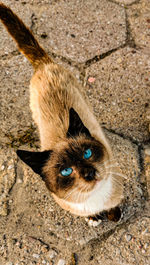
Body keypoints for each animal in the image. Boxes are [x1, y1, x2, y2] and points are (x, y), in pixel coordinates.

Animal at [0, 3, 123, 218]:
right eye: (66, 171)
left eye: (87, 154)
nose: (89, 173)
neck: (94, 199)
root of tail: (44, 64)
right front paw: (94, 219)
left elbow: (113, 208)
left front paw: (114, 217)